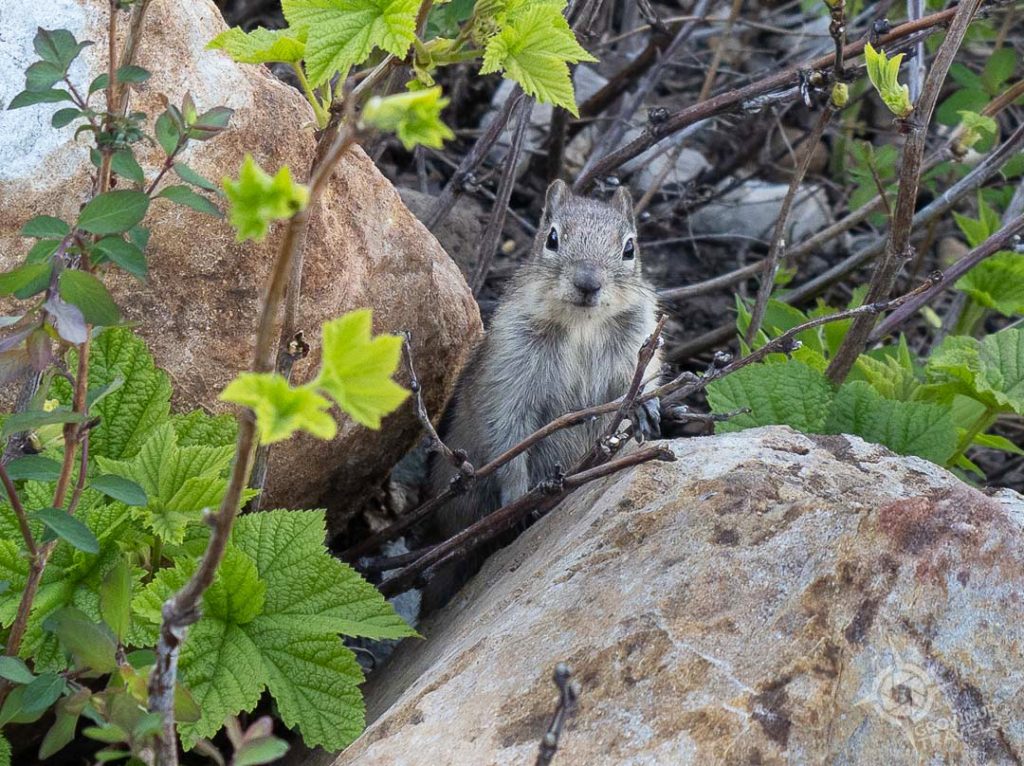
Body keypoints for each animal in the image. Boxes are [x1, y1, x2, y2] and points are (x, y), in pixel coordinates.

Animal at [424, 180, 662, 597]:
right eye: (552, 238)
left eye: (629, 248)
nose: (588, 283)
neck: (583, 325)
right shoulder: (511, 378)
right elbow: (510, 437)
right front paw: (519, 496)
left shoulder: (639, 341)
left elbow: (639, 380)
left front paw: (646, 406)